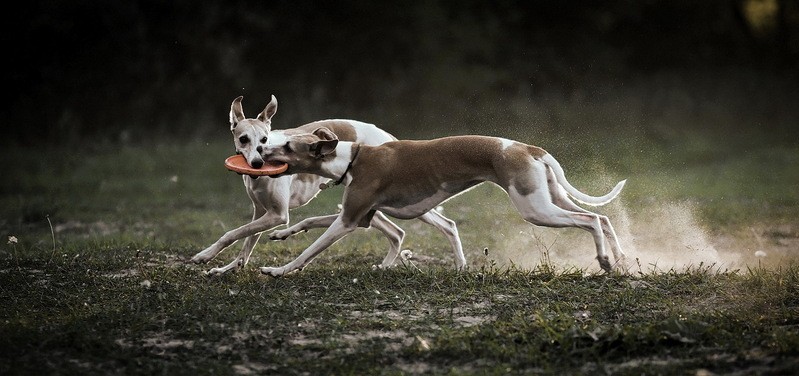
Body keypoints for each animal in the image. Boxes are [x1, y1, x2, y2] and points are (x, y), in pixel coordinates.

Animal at [191, 96, 466, 274]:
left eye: (265, 139)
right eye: (244, 139)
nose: (258, 164)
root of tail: (385, 136)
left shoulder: (277, 215)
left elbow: (232, 233)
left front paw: (204, 256)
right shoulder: (261, 212)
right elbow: (246, 244)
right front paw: (228, 268)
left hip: (406, 201)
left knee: (445, 225)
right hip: (375, 204)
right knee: (397, 232)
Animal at [260, 126, 628, 276]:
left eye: (289, 147)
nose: (261, 150)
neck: (353, 157)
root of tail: (527, 148)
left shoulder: (350, 220)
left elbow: (309, 252)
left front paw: (278, 270)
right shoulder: (362, 215)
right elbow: (309, 221)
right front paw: (280, 234)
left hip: (535, 209)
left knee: (590, 220)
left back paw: (604, 260)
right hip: (550, 198)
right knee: (603, 218)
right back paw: (621, 259)